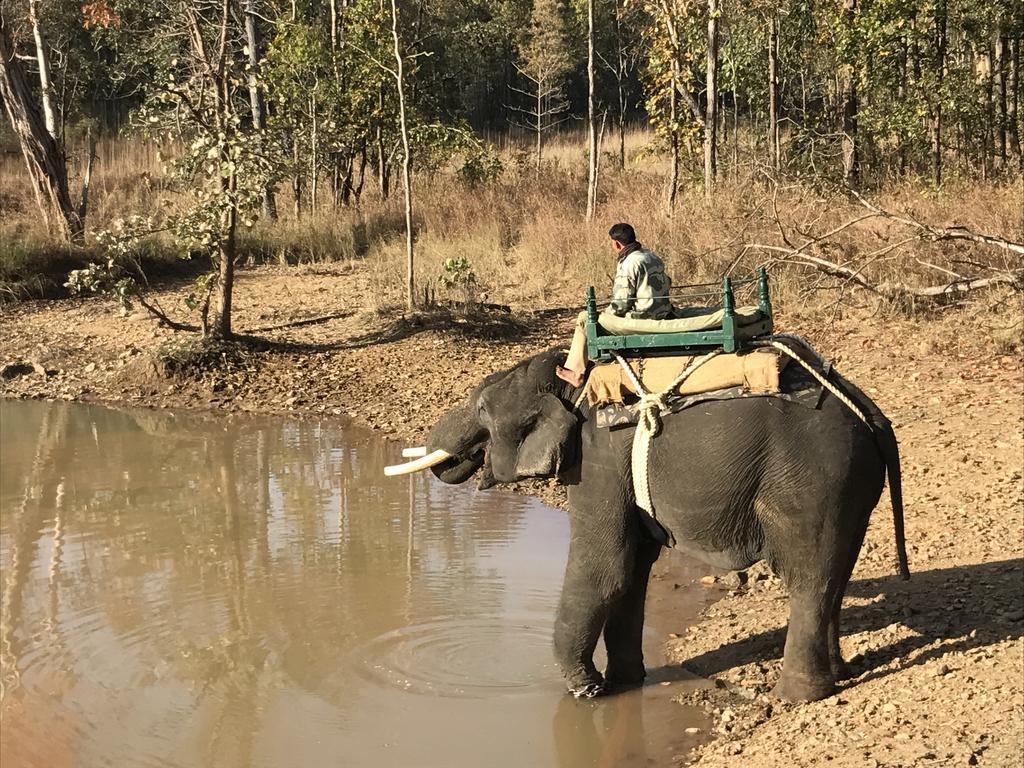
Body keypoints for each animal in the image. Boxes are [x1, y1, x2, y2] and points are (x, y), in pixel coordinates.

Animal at [387, 348, 909, 704]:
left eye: (480, 409)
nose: (591, 688)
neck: (569, 376)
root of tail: (871, 414)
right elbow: (634, 569)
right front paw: (623, 683)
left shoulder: (597, 458)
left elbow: (606, 568)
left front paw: (588, 690)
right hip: (849, 485)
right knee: (835, 574)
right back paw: (838, 676)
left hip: (812, 481)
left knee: (809, 578)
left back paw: (796, 696)